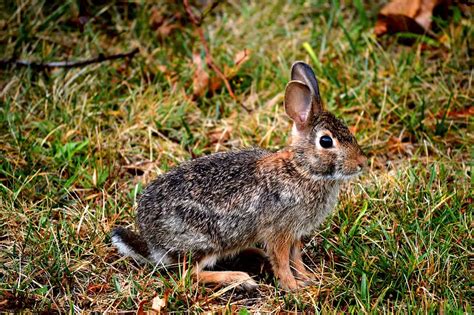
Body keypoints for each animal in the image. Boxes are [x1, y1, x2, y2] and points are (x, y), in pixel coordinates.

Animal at [111, 61, 366, 292]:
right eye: (326, 141)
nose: (361, 163)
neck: (302, 170)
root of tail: (153, 243)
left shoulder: (294, 233)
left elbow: (296, 259)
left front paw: (307, 279)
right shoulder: (279, 231)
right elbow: (283, 261)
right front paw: (293, 288)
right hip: (205, 241)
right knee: (190, 275)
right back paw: (240, 279)